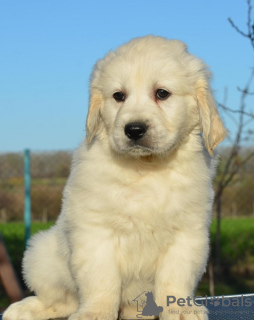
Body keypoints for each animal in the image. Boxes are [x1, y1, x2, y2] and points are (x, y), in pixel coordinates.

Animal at [3, 36, 226, 320]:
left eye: (162, 93)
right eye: (118, 96)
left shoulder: (187, 233)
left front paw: (179, 309)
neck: (145, 168)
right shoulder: (95, 232)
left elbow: (175, 278)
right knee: (62, 300)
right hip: (41, 255)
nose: (134, 129)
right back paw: (24, 308)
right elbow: (101, 280)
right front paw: (95, 312)